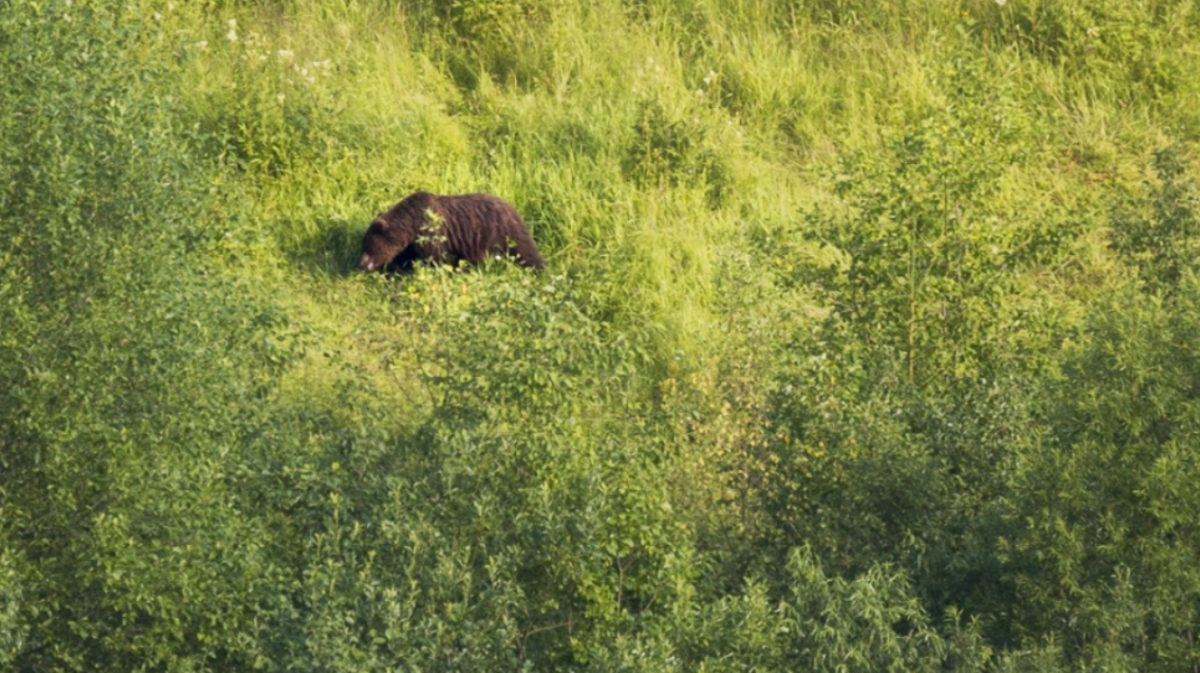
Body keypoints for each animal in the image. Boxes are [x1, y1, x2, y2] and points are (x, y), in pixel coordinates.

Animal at [352, 190, 547, 271]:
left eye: (368, 245)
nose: (360, 264)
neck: (411, 224)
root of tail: (513, 208)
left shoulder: (431, 232)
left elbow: (434, 259)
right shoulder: (412, 242)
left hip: (502, 231)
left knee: (525, 250)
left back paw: (539, 268)